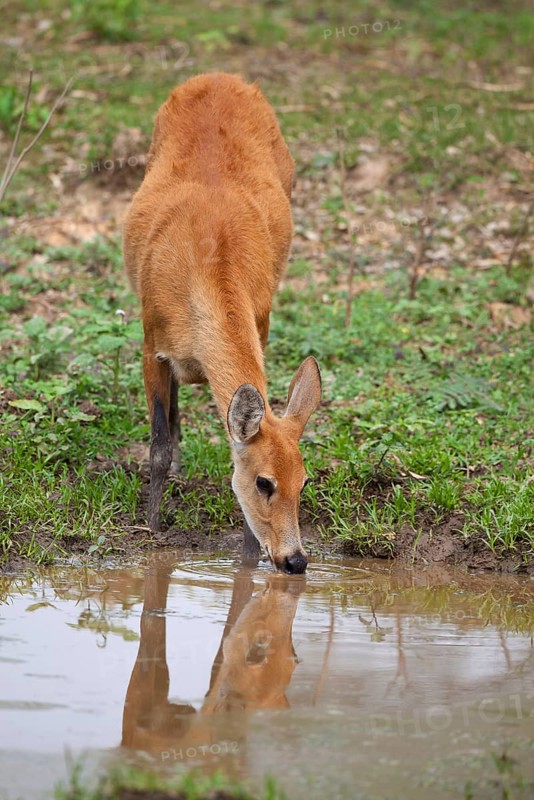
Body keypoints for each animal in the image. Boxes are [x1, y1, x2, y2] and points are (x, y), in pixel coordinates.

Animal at [123, 72, 321, 575]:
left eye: (305, 481)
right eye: (265, 482)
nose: (294, 560)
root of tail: (220, 77)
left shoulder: (261, 322)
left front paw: (248, 557)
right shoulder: (150, 339)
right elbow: (157, 446)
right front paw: (151, 527)